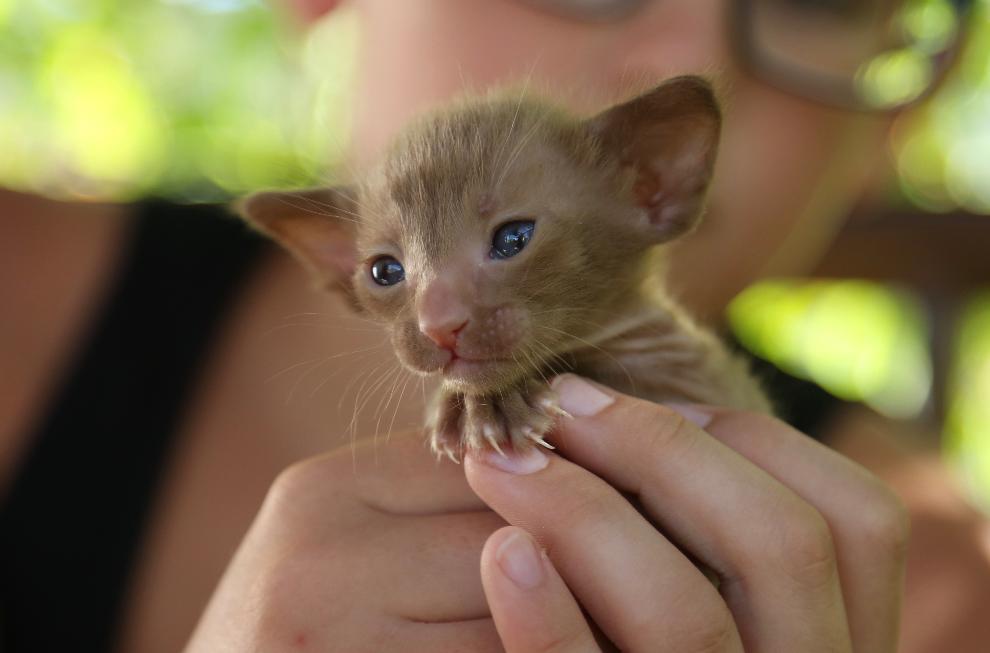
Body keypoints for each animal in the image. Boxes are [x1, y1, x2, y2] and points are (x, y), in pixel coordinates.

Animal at [240, 76, 776, 460]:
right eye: (385, 272)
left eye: (513, 239)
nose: (439, 326)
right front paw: (471, 404)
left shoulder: (699, 383)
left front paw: (494, 404)